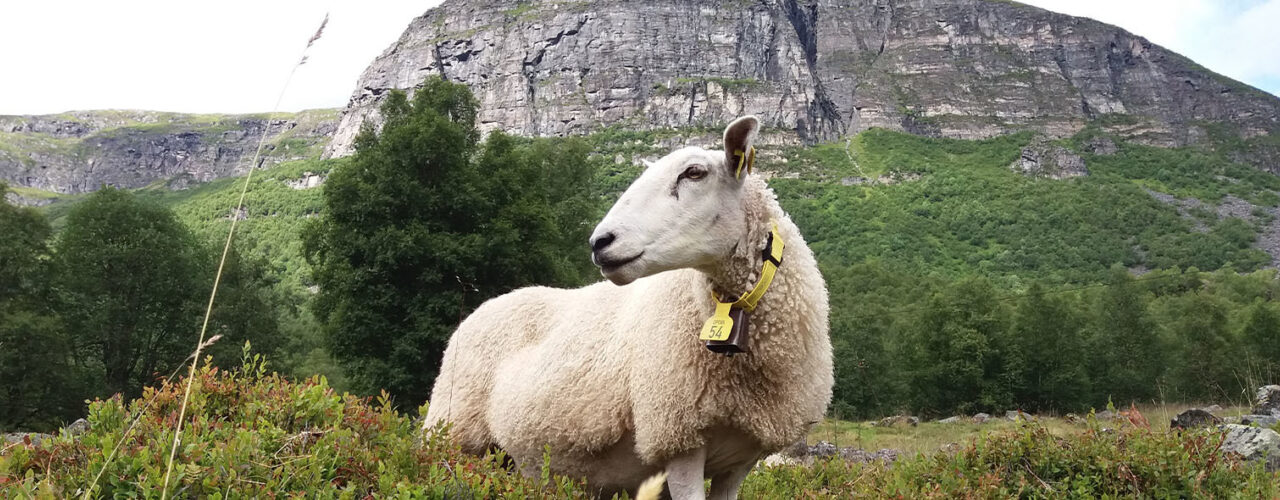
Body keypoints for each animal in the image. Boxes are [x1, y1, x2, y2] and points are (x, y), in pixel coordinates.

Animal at [424, 115, 834, 498]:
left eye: (694, 173)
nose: (600, 242)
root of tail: (481, 309)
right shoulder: (677, 438)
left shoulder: (741, 457)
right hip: (455, 433)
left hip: (511, 461)